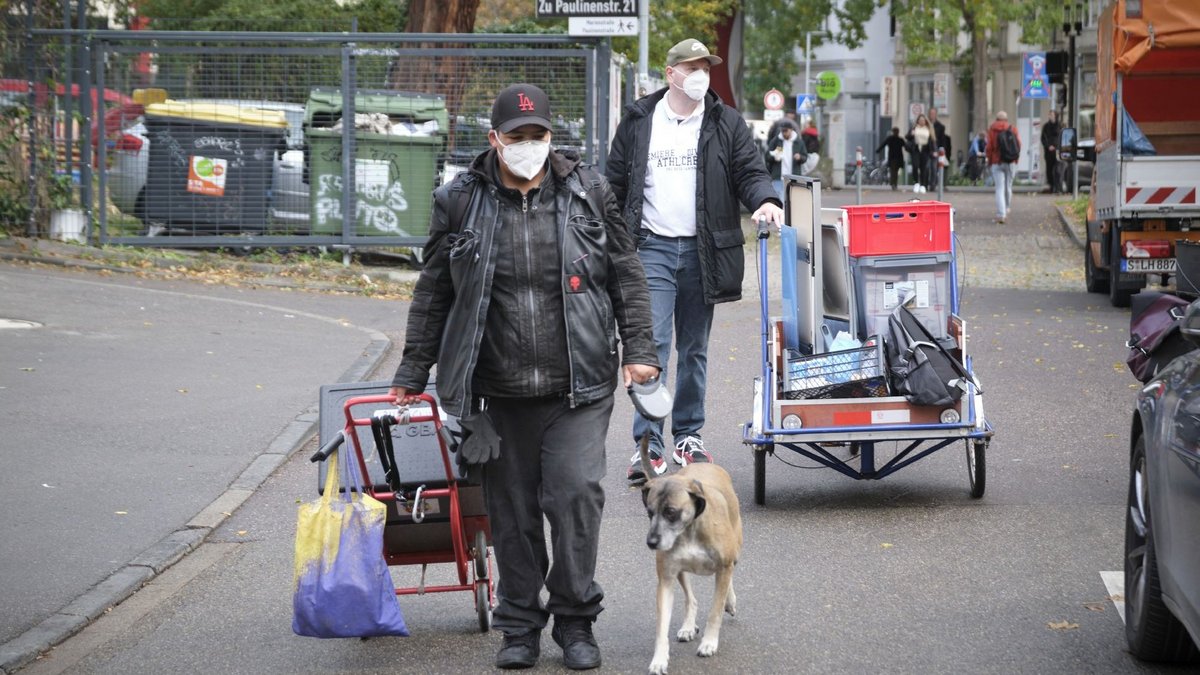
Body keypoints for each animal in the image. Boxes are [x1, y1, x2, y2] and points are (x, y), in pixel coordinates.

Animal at [638, 432, 739, 667]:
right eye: (649, 513)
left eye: (671, 512)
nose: (651, 542)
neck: (689, 529)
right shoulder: (666, 579)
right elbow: (662, 626)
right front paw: (659, 658)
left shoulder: (724, 567)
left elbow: (715, 611)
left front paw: (709, 642)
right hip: (680, 571)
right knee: (691, 599)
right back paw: (688, 626)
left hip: (735, 551)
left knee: (730, 574)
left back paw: (730, 601)